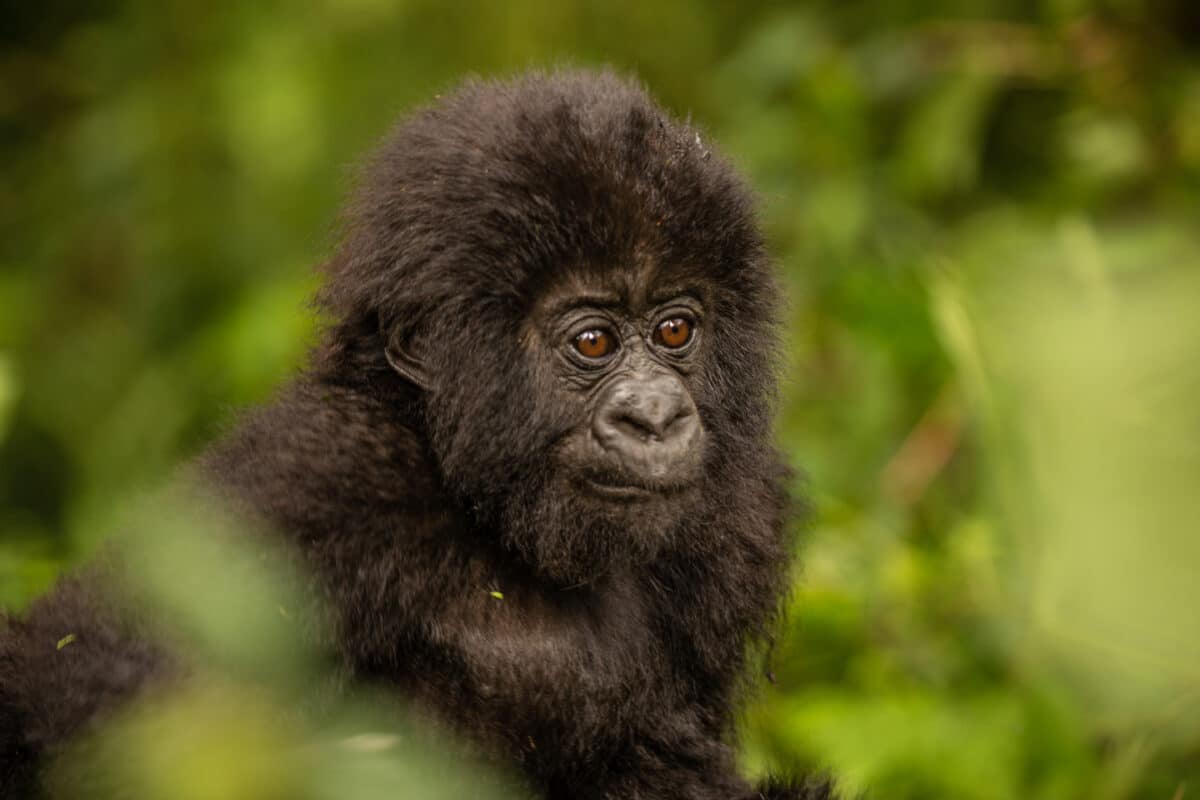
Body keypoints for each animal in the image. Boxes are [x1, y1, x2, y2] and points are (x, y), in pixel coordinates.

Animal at [0, 69, 834, 800]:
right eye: (593, 342)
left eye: (675, 330)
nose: (656, 417)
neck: (480, 501)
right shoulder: (318, 482)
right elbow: (69, 678)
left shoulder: (742, 517)